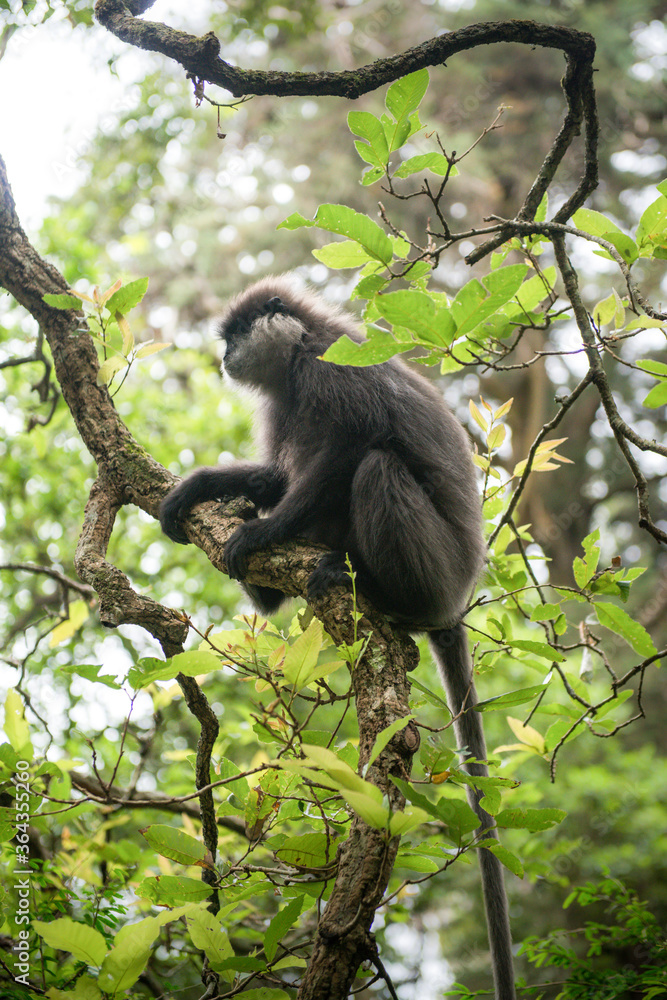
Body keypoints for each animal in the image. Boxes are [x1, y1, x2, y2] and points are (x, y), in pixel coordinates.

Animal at [159, 275, 516, 1000]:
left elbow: (350, 448)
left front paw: (259, 532)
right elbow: (277, 474)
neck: (298, 357)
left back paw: (369, 588)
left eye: (232, 335)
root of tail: (454, 599)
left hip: (433, 567)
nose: (223, 356)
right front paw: (207, 487)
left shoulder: (333, 367)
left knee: (373, 464)